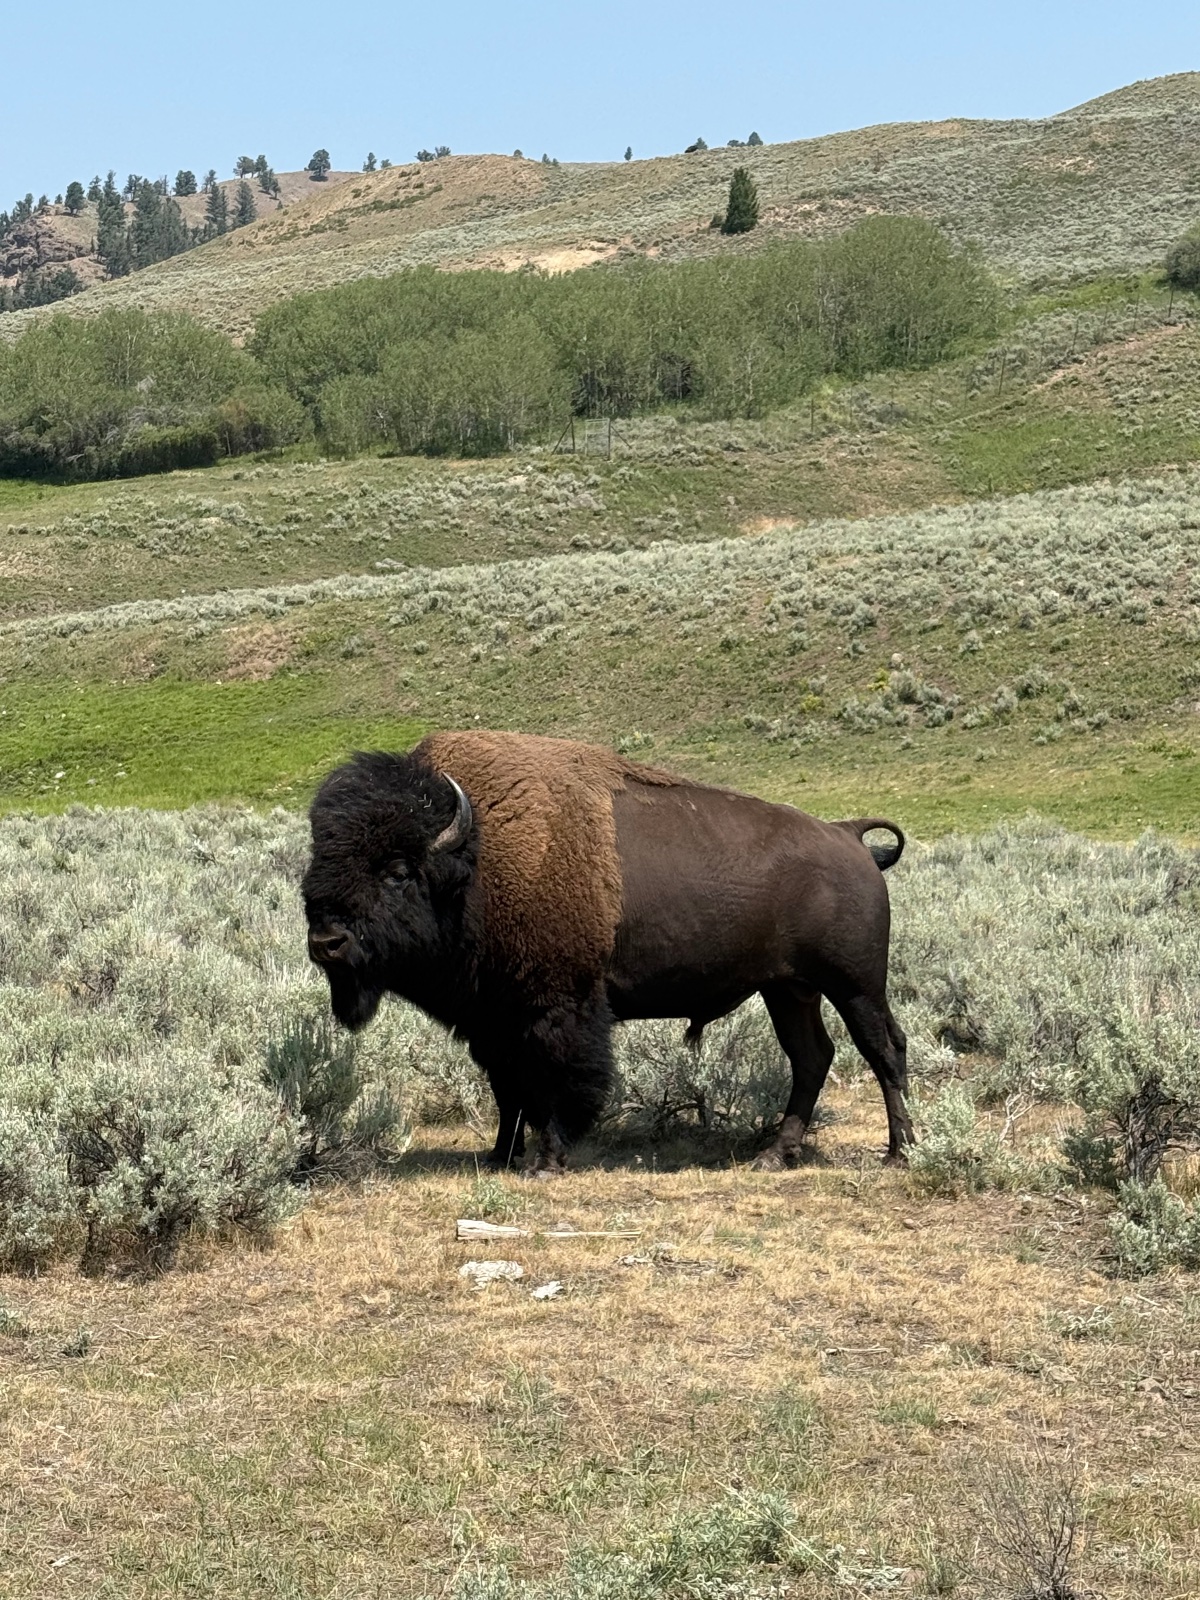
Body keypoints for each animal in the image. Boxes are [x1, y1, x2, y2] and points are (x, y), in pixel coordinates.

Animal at [303, 730, 912, 1173]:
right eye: (318, 859)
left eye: (398, 870)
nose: (326, 942)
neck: (476, 860)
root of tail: (849, 837)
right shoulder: (493, 1020)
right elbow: (508, 1089)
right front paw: (500, 1155)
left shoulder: (557, 1010)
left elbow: (553, 1083)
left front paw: (546, 1161)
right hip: (787, 989)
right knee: (812, 1057)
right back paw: (773, 1155)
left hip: (855, 985)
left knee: (883, 1049)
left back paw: (899, 1152)